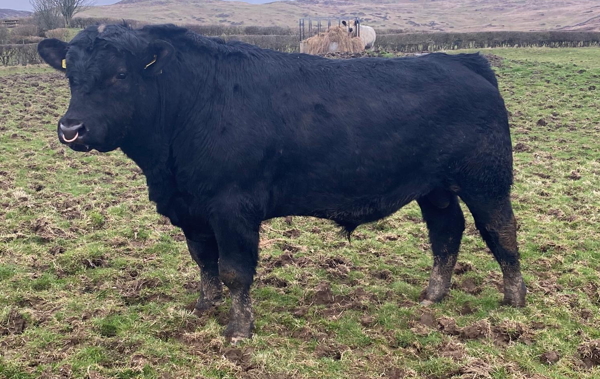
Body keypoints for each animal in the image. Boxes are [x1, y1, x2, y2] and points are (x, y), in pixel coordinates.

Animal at [38, 23, 524, 344]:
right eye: (70, 75)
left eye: (120, 74)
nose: (71, 129)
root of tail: (463, 62)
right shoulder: (190, 208)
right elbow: (204, 261)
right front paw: (203, 307)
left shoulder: (232, 207)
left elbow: (235, 271)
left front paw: (238, 330)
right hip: (435, 189)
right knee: (447, 232)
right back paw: (433, 295)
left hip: (486, 180)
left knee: (501, 231)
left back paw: (515, 298)